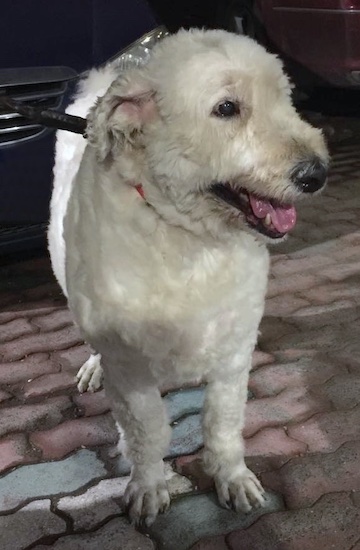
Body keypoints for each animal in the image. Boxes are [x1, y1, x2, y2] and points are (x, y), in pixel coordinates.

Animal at [48, 29, 330, 528]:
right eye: (226, 108)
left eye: (287, 99)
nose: (317, 174)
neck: (187, 236)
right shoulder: (130, 371)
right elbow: (147, 432)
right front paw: (148, 485)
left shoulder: (234, 353)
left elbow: (222, 425)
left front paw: (232, 478)